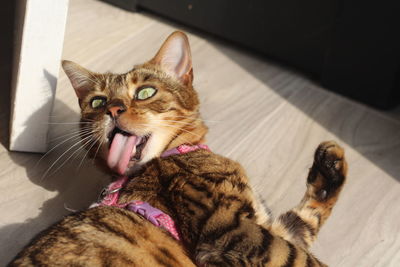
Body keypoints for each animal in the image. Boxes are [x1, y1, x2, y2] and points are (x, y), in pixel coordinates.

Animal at [9, 31, 346, 267]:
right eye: (98, 101)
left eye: (145, 92)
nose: (113, 109)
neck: (176, 156)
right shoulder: (236, 233)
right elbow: (303, 258)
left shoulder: (265, 227)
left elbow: (304, 220)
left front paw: (331, 165)